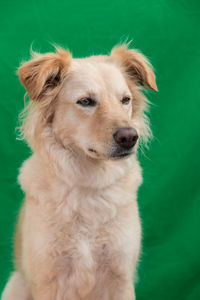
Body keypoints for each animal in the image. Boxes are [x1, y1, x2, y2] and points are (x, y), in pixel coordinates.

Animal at [1, 44, 157, 300]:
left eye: (125, 100)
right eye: (85, 101)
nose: (129, 137)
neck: (89, 184)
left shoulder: (121, 277)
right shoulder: (47, 280)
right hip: (16, 285)